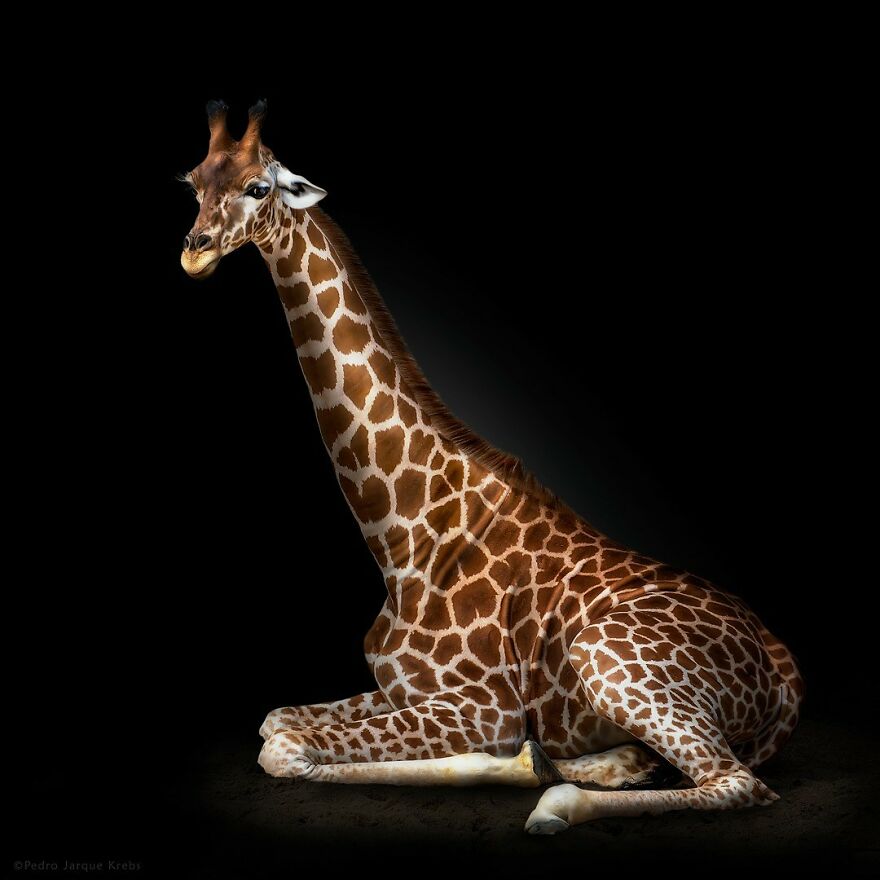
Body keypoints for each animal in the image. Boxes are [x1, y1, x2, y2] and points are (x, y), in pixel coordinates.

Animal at [180, 101, 804, 832]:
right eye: (193, 182)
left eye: (259, 187)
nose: (195, 250)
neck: (400, 535)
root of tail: (784, 670)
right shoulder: (400, 689)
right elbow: (274, 719)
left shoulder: (482, 706)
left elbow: (283, 747)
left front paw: (523, 765)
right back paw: (599, 765)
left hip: (608, 658)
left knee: (736, 782)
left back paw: (557, 799)